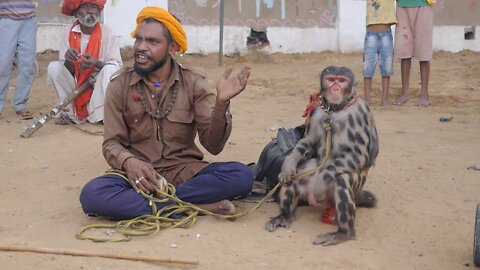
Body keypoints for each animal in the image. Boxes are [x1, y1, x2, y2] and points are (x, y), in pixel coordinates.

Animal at [262, 66, 378, 246]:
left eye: (342, 80)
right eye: (331, 80)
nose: (335, 89)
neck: (336, 109)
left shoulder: (360, 113)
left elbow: (360, 155)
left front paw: (320, 184)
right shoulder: (317, 110)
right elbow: (308, 141)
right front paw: (289, 163)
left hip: (353, 188)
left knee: (342, 178)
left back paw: (343, 234)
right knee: (300, 171)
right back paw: (285, 216)